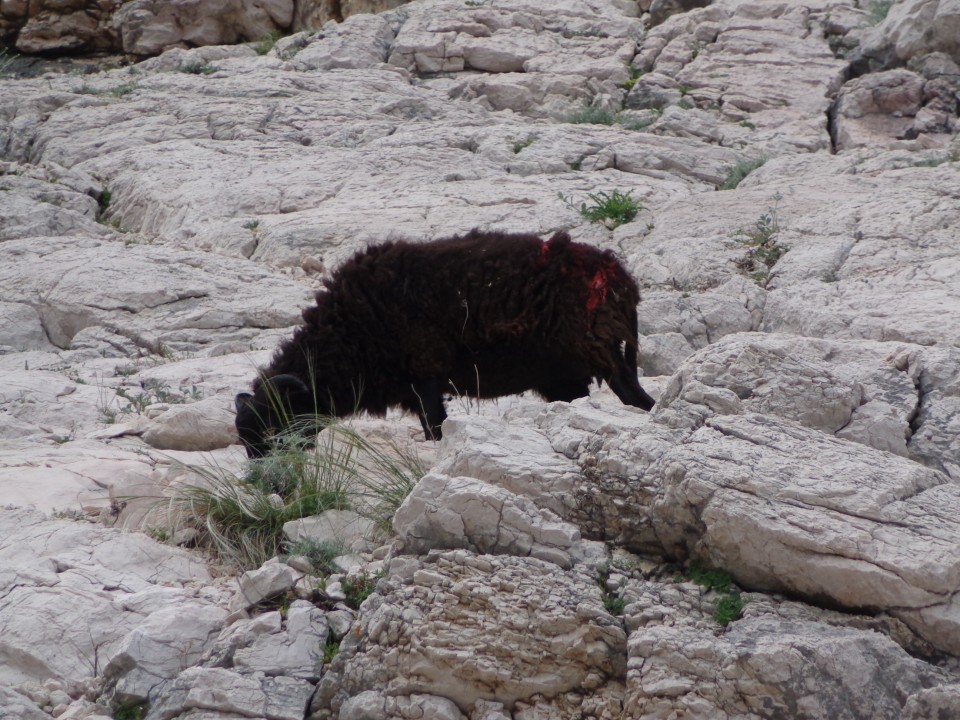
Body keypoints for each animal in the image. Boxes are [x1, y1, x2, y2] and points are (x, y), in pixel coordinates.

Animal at [237, 229, 656, 456]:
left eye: (274, 428)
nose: (270, 485)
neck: (348, 334)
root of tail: (619, 276)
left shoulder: (425, 378)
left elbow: (435, 429)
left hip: (606, 356)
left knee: (639, 401)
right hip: (565, 378)